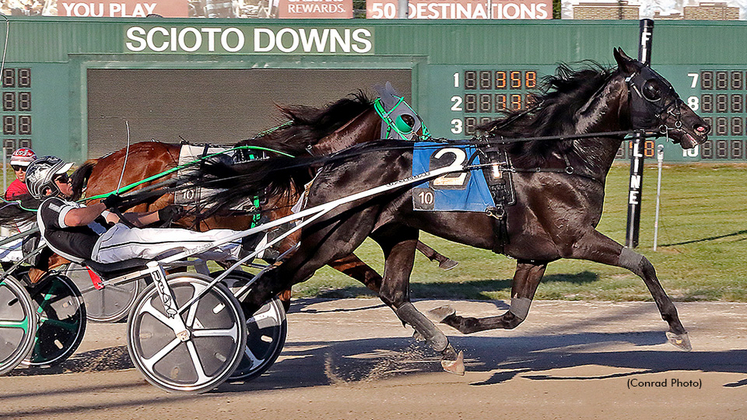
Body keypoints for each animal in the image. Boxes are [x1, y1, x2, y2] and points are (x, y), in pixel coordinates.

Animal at [190, 47, 712, 372]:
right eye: (654, 87)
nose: (700, 126)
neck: (556, 155)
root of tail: (333, 158)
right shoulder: (574, 240)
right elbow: (640, 262)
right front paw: (677, 331)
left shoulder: (536, 254)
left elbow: (516, 315)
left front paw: (458, 321)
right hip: (332, 237)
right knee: (268, 284)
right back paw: (212, 343)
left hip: (396, 231)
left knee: (393, 291)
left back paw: (444, 349)